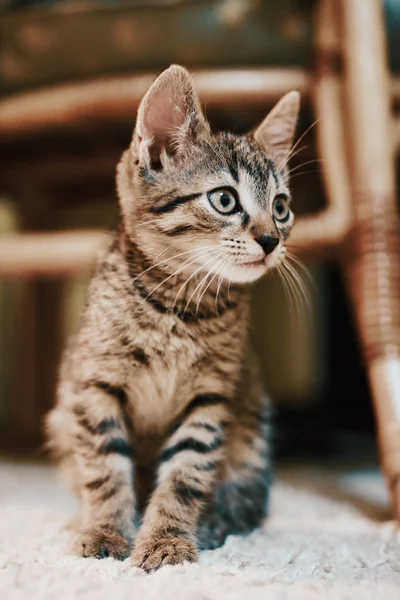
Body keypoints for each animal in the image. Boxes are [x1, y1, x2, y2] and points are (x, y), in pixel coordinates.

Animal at [45, 65, 298, 572]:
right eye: (225, 200)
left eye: (281, 207)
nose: (270, 240)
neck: (180, 309)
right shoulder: (94, 384)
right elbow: (104, 468)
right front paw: (105, 531)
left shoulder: (210, 398)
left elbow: (185, 473)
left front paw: (166, 539)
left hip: (251, 431)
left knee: (247, 500)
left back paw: (213, 522)